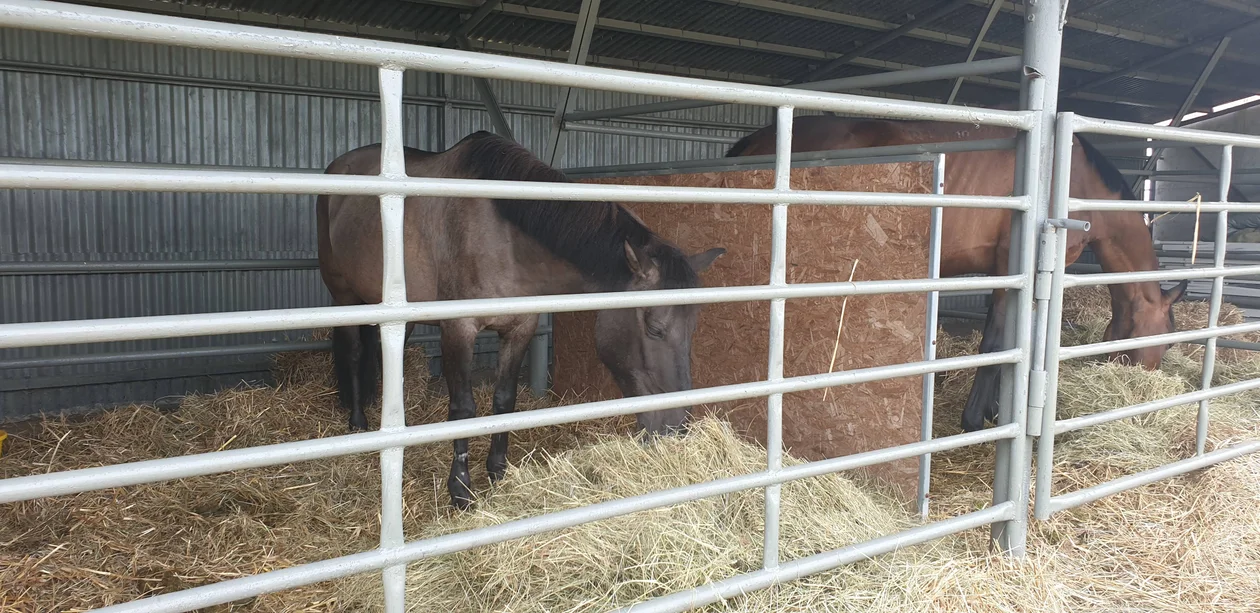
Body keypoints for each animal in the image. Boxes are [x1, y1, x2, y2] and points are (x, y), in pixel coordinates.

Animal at [315, 133, 725, 508]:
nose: (676, 429)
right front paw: (461, 490)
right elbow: (463, 408)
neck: (505, 238)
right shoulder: (458, 330)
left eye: (693, 330)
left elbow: (504, 400)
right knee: (353, 352)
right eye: (655, 328)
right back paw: (358, 424)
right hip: (344, 295)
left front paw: (498, 472)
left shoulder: (521, 328)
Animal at [725, 115, 1184, 433]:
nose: (1145, 396)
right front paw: (976, 420)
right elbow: (997, 341)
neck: (1074, 179)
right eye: (1162, 341)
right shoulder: (1012, 266)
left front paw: (996, 409)